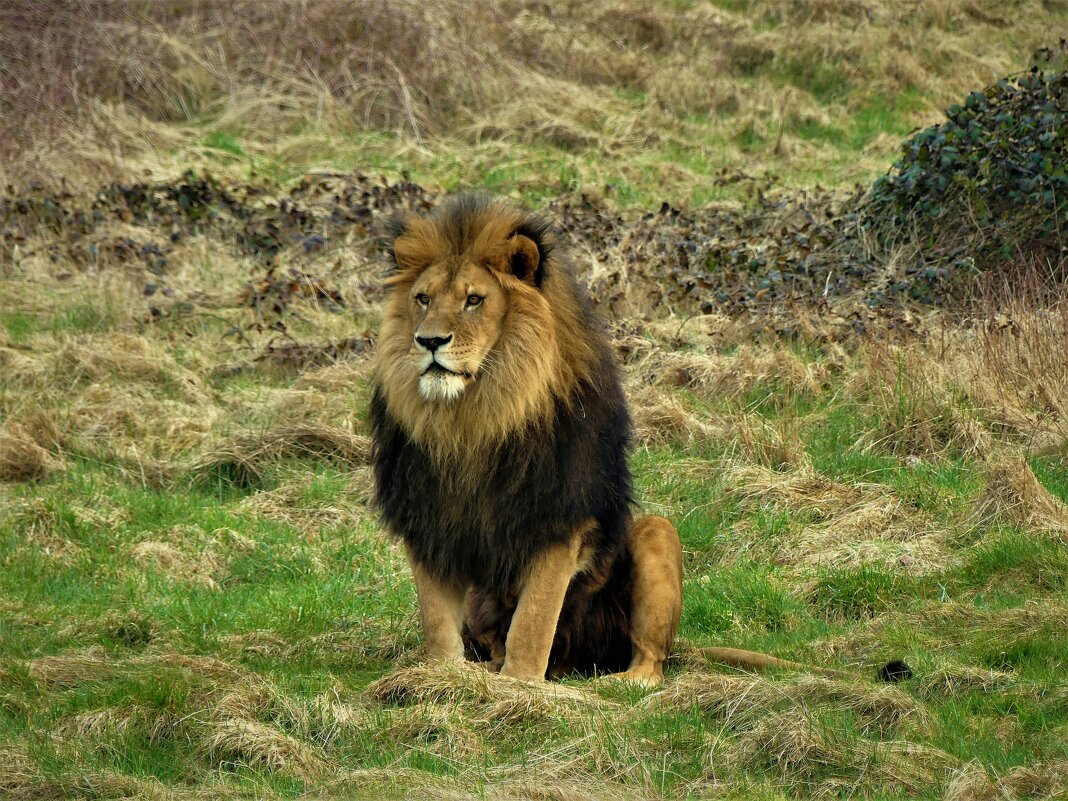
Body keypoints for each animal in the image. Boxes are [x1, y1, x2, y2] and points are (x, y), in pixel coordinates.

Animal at [367, 196, 909, 692]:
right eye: (423, 299)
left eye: (474, 300)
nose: (428, 341)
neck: (474, 418)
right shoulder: (428, 521)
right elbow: (438, 622)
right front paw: (437, 679)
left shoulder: (560, 521)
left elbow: (534, 621)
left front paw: (518, 687)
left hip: (654, 537)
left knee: (650, 658)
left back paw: (619, 683)